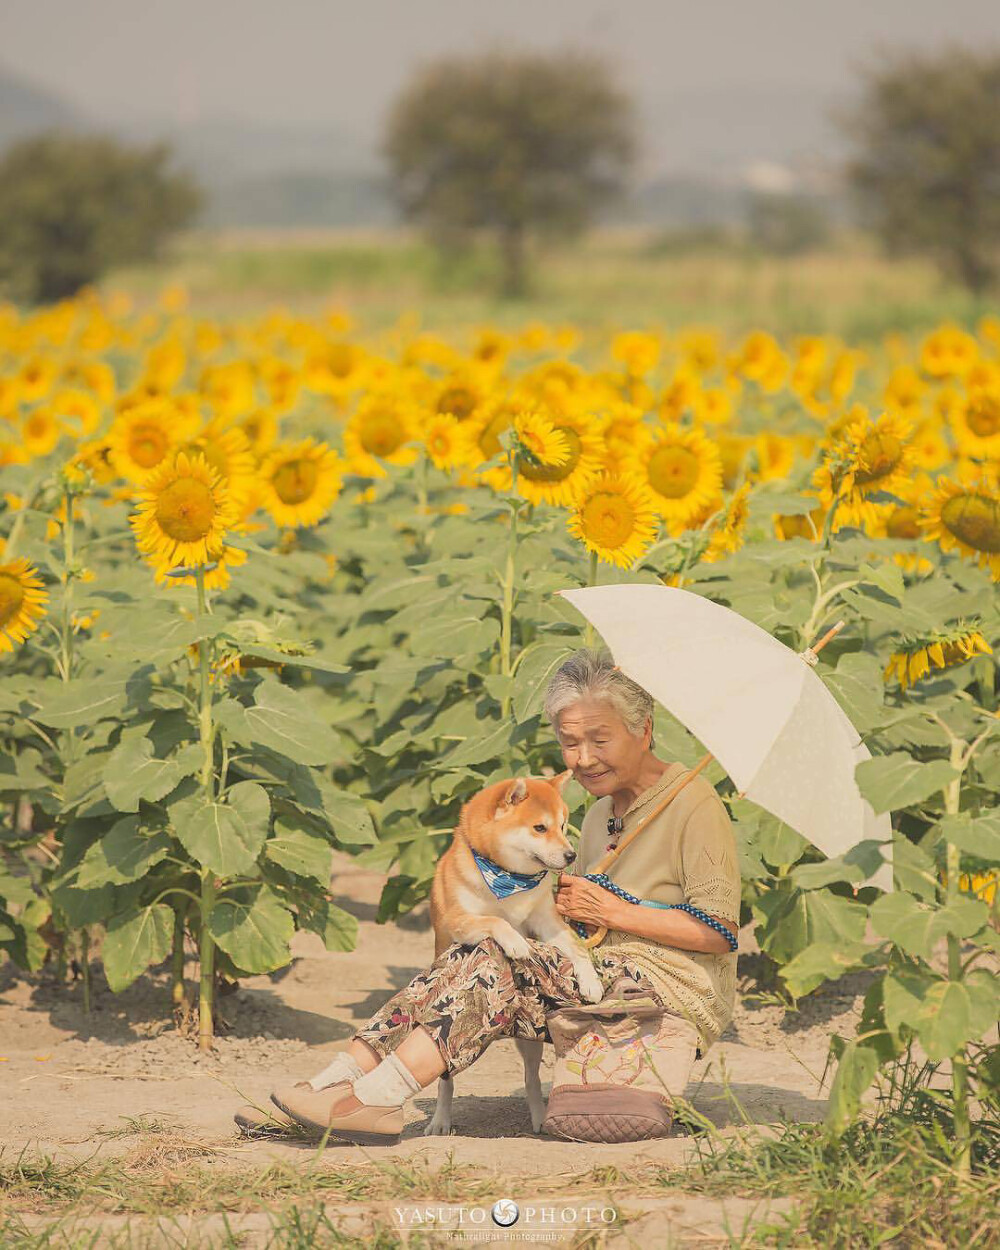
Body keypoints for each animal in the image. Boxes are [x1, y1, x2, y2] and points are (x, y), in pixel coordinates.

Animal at [422, 765, 602, 1140]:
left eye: (564, 824)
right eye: (539, 827)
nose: (570, 855)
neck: (507, 880)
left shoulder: (547, 922)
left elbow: (577, 949)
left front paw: (591, 981)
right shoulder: (459, 920)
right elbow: (495, 920)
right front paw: (515, 941)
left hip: (529, 1044)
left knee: (531, 1079)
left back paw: (540, 1117)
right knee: (446, 1082)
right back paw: (440, 1121)